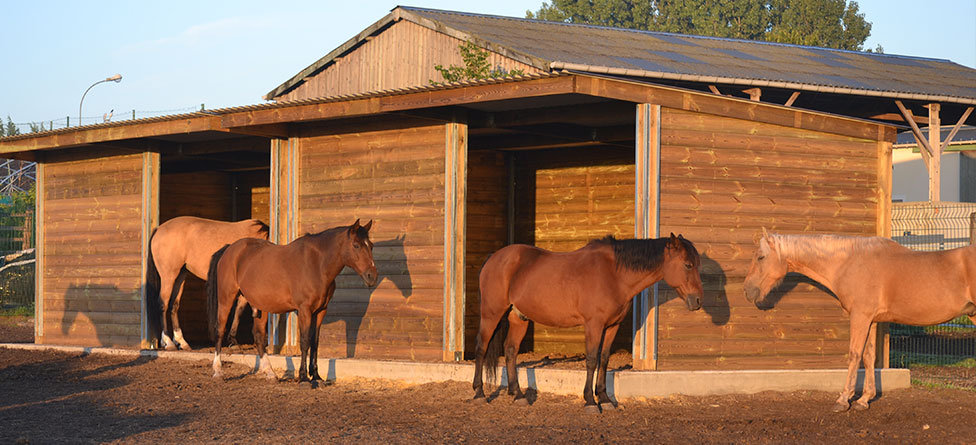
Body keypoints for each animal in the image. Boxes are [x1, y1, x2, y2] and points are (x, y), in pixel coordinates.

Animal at [145, 216, 268, 350]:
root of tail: (159, 229)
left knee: (174, 305)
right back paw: (168, 342)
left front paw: (233, 341)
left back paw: (182, 341)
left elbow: (239, 310)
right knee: (163, 304)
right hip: (168, 276)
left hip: (180, 275)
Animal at [206, 219, 378, 386]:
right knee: (220, 329)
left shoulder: (321, 311)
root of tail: (229, 249)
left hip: (261, 305)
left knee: (259, 336)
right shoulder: (304, 310)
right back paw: (218, 371)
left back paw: (270, 373)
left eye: (371, 246)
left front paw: (316, 376)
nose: (372, 276)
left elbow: (315, 342)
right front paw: (303, 378)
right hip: (226, 298)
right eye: (356, 245)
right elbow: (305, 341)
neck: (317, 264)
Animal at [470, 234, 700, 412]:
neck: (613, 274)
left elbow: (604, 359)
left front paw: (605, 400)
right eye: (687, 265)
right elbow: (591, 360)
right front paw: (590, 401)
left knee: (510, 351)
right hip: (491, 313)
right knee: (481, 348)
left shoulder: (612, 326)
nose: (697, 301)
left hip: (519, 317)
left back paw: (518, 395)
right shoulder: (593, 325)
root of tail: (493, 258)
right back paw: (479, 393)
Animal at [744, 231, 976, 412]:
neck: (849, 262)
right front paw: (864, 400)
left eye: (761, 257)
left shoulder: (860, 316)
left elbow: (854, 354)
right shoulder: (871, 320)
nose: (748, 290)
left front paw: (843, 399)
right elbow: (869, 356)